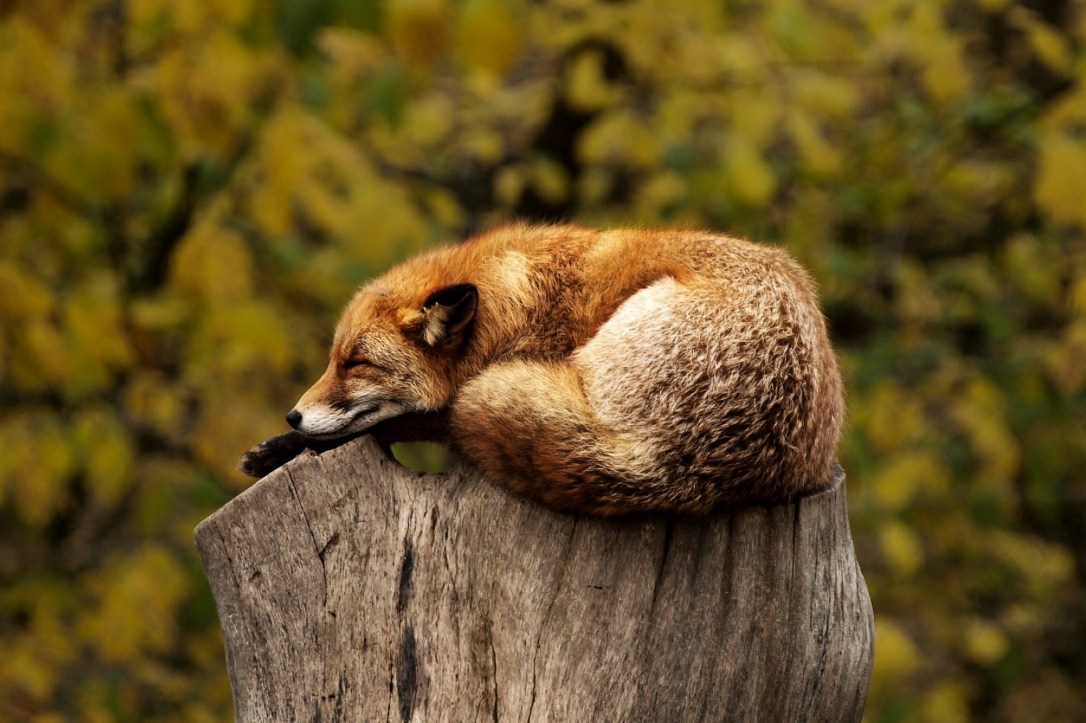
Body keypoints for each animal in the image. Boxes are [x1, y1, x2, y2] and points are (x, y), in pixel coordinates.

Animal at [240, 223, 845, 515]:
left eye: (356, 363)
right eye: (332, 360)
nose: (293, 416)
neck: (513, 307)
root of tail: (670, 465)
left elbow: (400, 422)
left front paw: (285, 447)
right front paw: (277, 447)